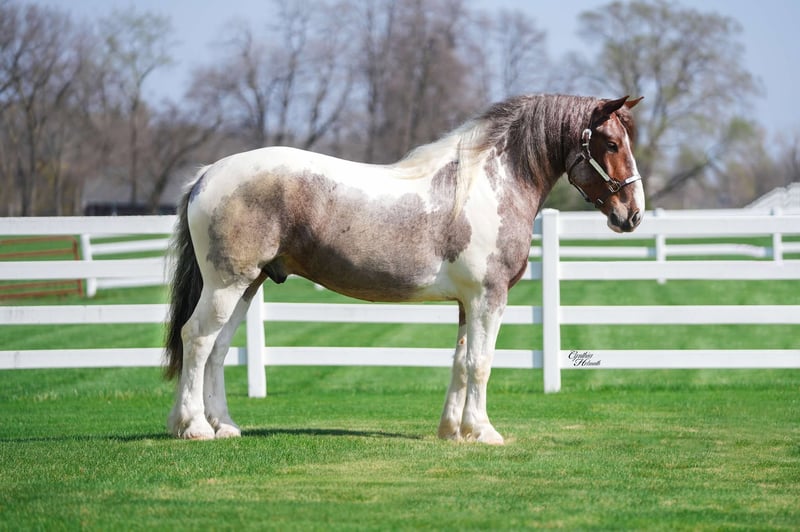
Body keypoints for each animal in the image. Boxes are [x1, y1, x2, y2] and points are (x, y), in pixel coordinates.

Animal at [164, 93, 645, 444]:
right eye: (612, 144)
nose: (633, 215)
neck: (490, 183)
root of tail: (207, 174)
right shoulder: (489, 296)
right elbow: (481, 362)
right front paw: (484, 431)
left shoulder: (467, 302)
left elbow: (460, 360)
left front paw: (453, 432)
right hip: (227, 285)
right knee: (197, 339)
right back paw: (195, 427)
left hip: (247, 285)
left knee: (218, 349)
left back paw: (224, 425)